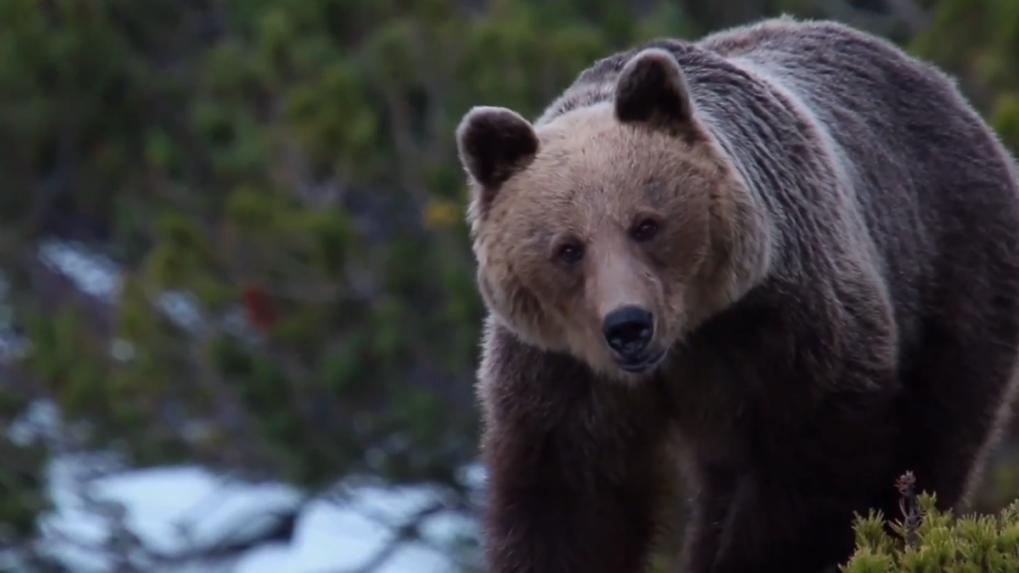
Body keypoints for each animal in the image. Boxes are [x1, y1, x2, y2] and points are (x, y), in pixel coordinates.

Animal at [458, 15, 1019, 570]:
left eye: (646, 225)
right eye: (569, 248)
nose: (628, 326)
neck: (686, 340)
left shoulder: (785, 329)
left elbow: (808, 476)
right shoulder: (560, 371)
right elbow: (569, 501)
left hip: (951, 265)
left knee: (936, 430)